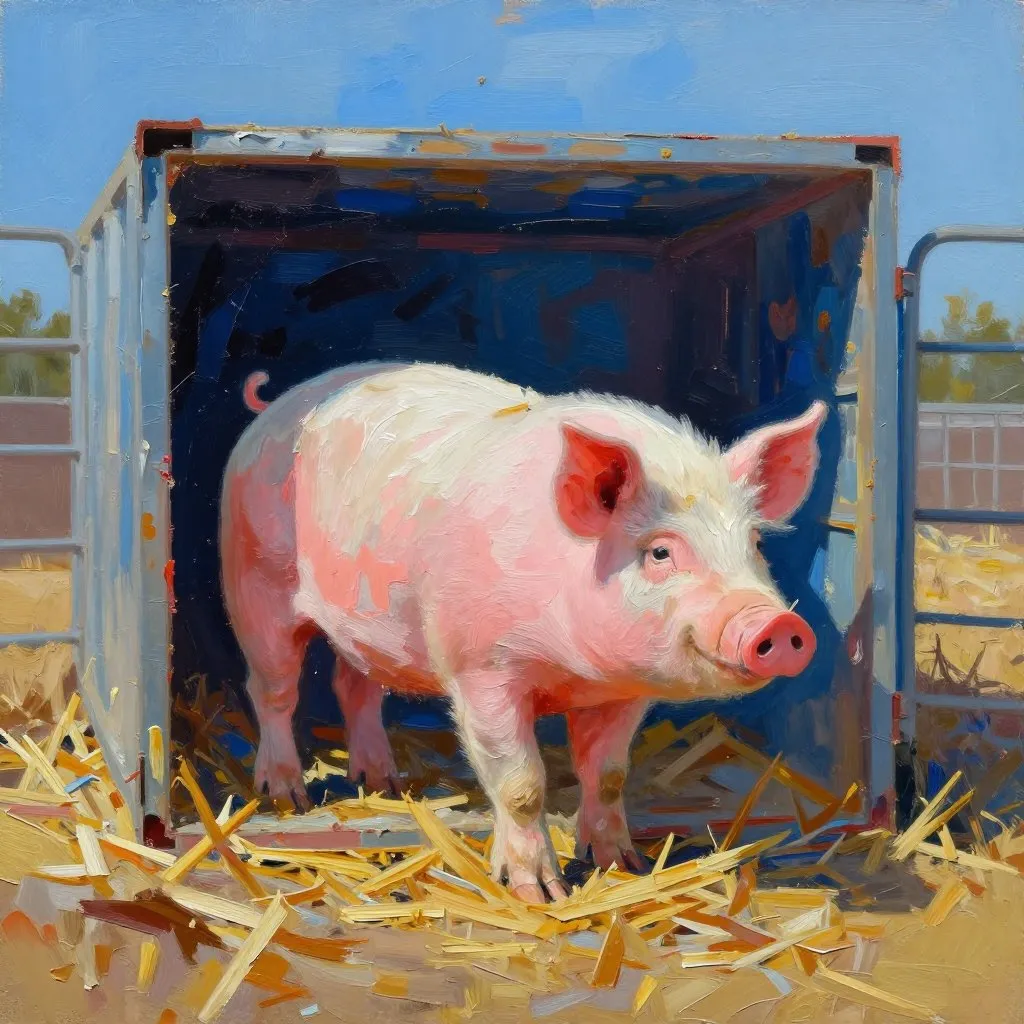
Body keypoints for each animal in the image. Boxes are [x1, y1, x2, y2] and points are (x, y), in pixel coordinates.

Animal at [220, 361, 825, 902]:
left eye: (755, 544)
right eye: (659, 552)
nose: (777, 623)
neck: (575, 669)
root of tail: (278, 405)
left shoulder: (626, 692)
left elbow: (608, 774)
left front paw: (622, 865)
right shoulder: (482, 669)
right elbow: (521, 786)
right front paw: (541, 894)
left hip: (366, 628)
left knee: (355, 688)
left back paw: (386, 784)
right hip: (256, 578)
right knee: (272, 689)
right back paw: (286, 798)